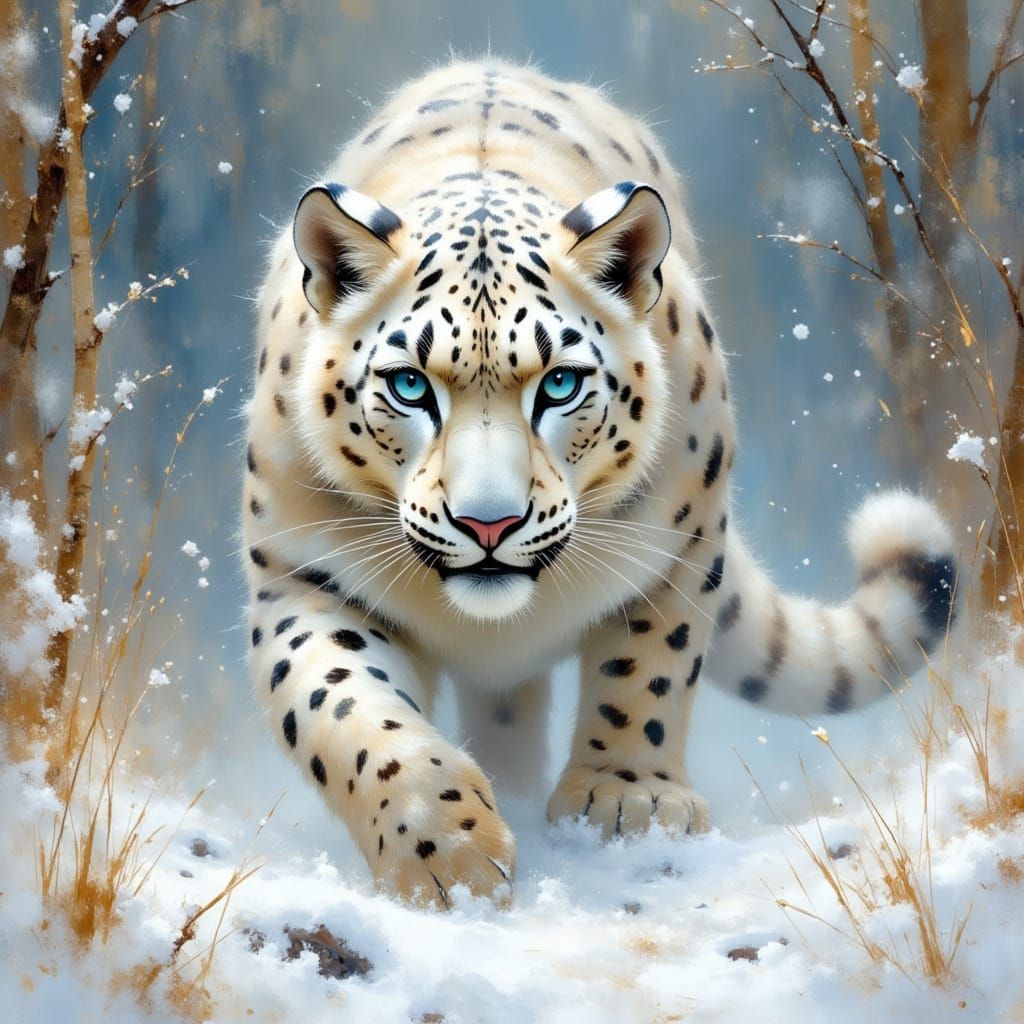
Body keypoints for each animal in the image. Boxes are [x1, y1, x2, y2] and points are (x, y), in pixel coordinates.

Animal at [241, 60, 956, 909]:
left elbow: (650, 666)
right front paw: (444, 848)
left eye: (560, 383)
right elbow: (347, 704)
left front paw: (628, 800)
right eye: (411, 384)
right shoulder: (304, 575)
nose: (489, 524)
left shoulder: (682, 539)